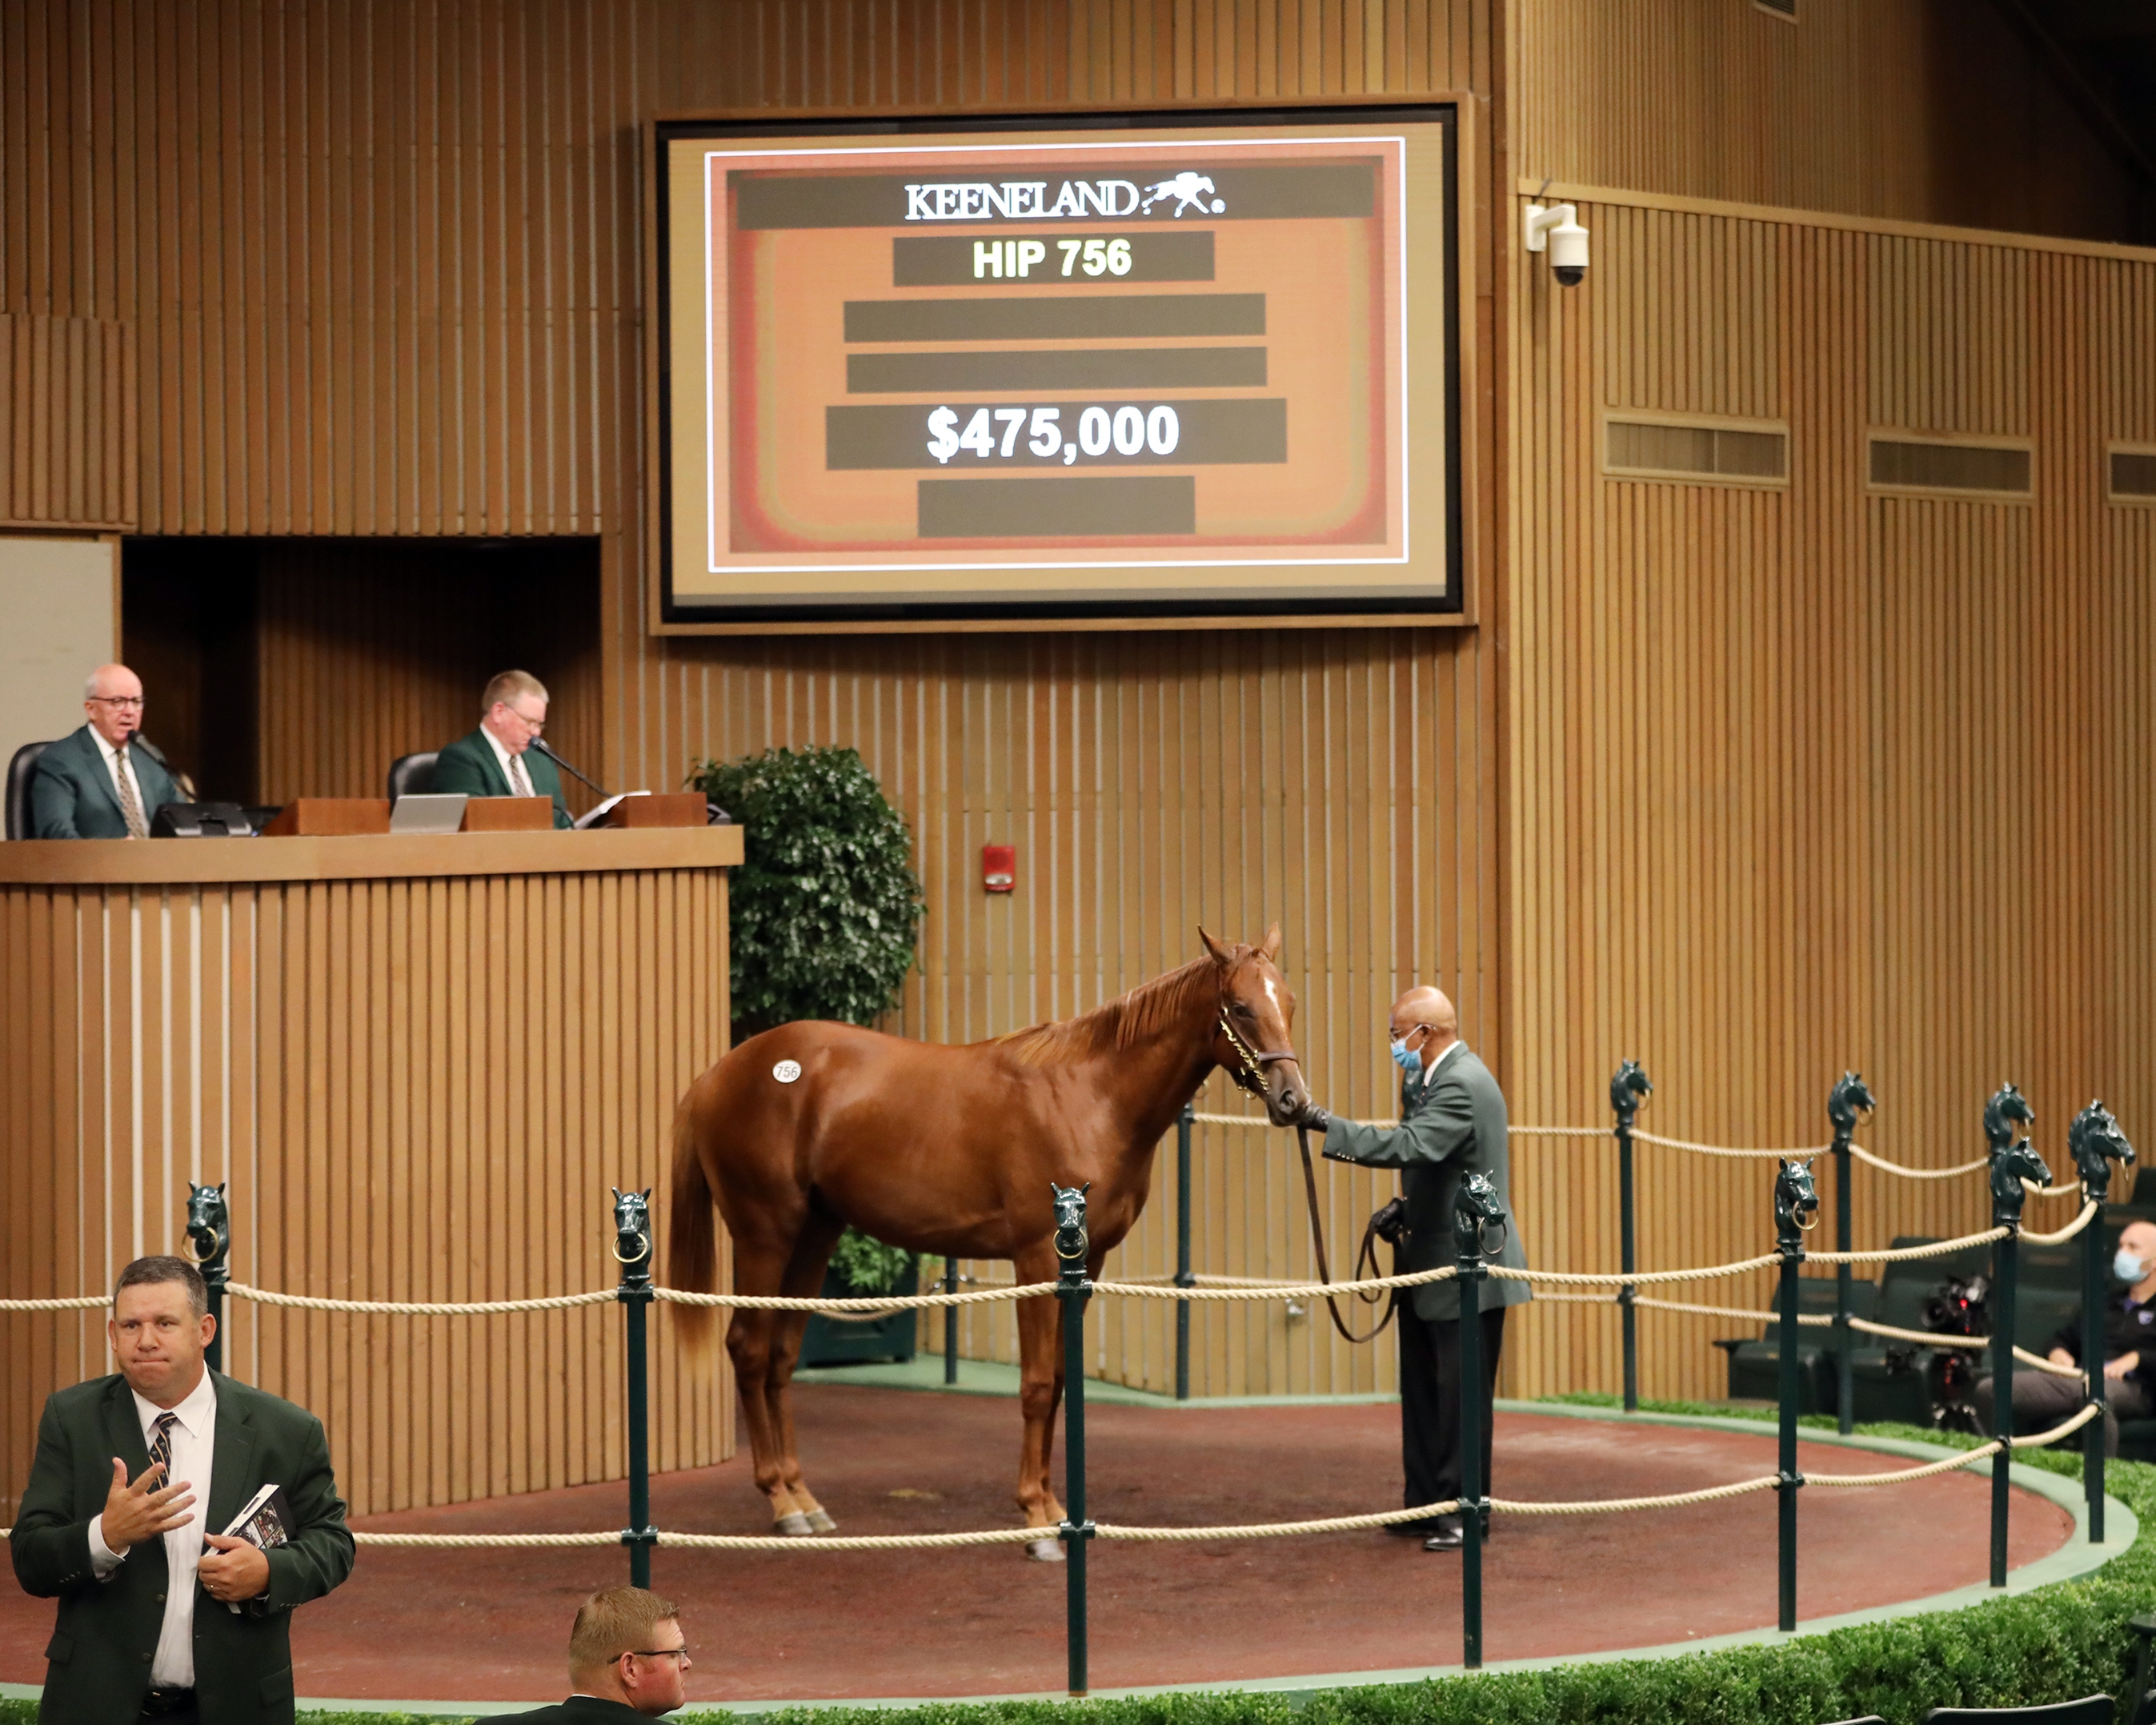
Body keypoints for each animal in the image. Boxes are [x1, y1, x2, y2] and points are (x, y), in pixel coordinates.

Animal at [663, 922, 1302, 1552]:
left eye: (1289, 1001)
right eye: (1240, 1007)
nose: (1292, 1099)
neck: (1091, 1095)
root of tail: (717, 1074)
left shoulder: (1088, 1264)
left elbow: (1062, 1380)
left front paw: (1053, 1507)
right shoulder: (1036, 1258)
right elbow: (1039, 1384)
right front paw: (1038, 1521)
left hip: (814, 1237)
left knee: (779, 1356)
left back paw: (804, 1499)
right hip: (765, 1234)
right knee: (748, 1350)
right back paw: (780, 1502)